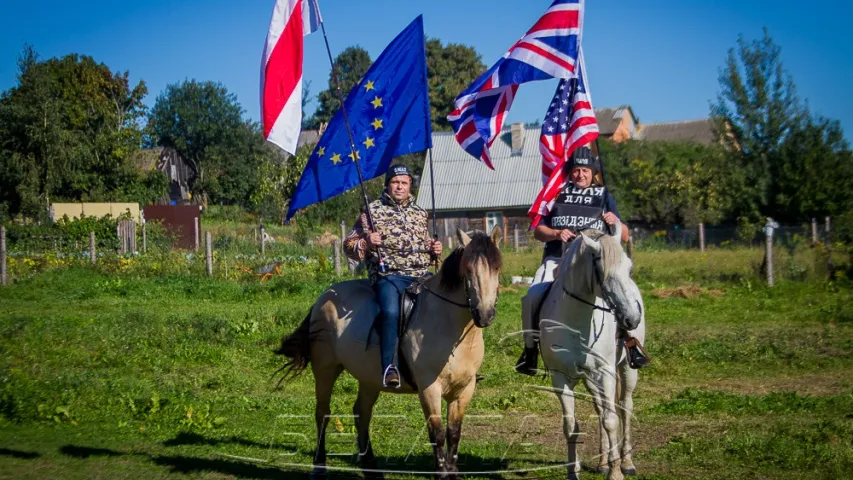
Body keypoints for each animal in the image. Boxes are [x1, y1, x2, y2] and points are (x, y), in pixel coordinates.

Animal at [540, 225, 644, 480]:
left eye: (629, 268)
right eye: (602, 270)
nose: (632, 318)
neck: (577, 322)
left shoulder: (605, 372)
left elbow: (611, 420)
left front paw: (616, 473)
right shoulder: (560, 377)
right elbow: (571, 425)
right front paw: (573, 471)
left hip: (626, 370)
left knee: (624, 407)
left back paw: (626, 462)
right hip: (590, 379)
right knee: (599, 408)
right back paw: (603, 462)